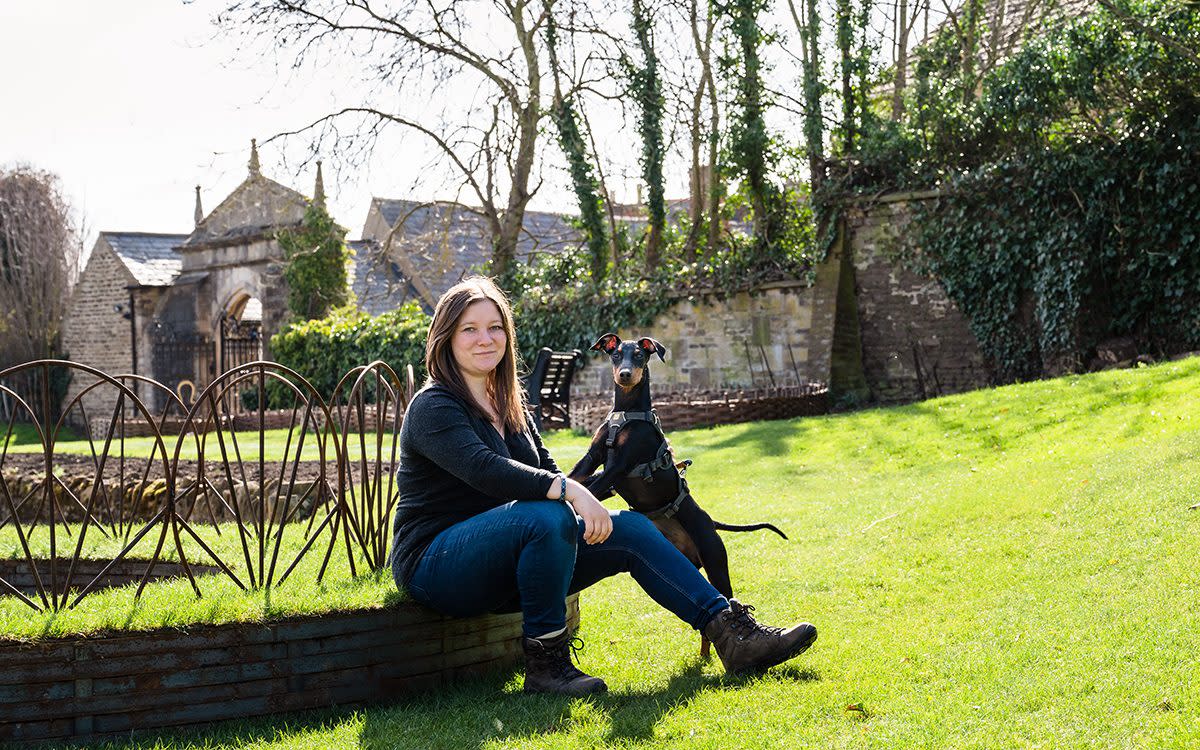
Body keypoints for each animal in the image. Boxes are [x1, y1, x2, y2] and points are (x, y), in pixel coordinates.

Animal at [568, 333, 787, 652]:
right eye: (616, 354)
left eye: (639, 356)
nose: (625, 375)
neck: (626, 413)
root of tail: (711, 522)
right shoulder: (592, 459)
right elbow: (573, 479)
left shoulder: (617, 467)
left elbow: (588, 489)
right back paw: (705, 656)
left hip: (715, 562)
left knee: (724, 601)